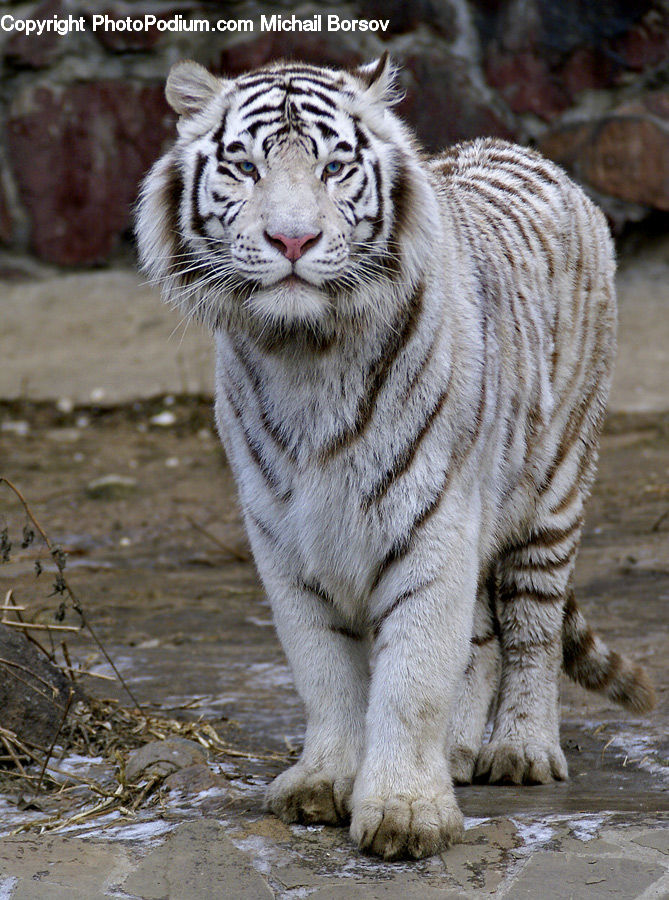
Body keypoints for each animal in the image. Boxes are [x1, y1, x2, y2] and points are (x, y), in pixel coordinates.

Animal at [135, 53, 655, 860]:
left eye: (335, 166)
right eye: (246, 167)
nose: (291, 241)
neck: (305, 356)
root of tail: (529, 153)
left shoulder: (432, 517)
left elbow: (412, 676)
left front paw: (405, 814)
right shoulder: (283, 533)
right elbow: (324, 669)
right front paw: (325, 782)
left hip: (555, 487)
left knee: (531, 630)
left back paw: (521, 750)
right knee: (482, 634)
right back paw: (461, 750)